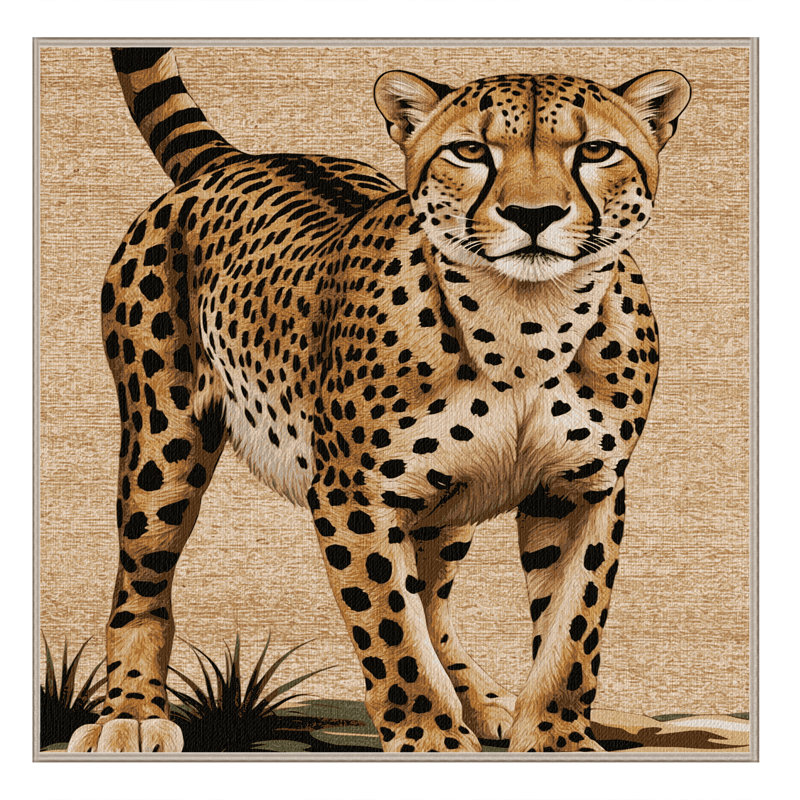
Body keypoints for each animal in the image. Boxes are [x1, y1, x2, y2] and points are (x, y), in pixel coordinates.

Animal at [67, 47, 690, 754]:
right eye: (470, 151)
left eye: (596, 151)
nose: (534, 215)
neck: (525, 323)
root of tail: (242, 158)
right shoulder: (353, 496)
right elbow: (392, 628)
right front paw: (430, 740)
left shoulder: (581, 489)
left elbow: (573, 626)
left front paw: (556, 740)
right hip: (163, 441)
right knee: (141, 579)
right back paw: (132, 713)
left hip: (447, 504)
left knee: (434, 596)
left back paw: (478, 696)